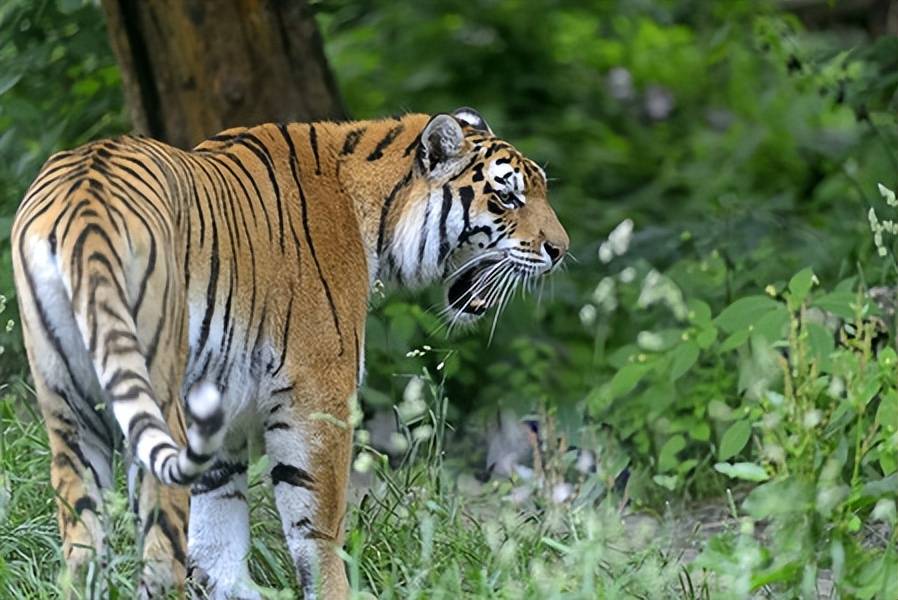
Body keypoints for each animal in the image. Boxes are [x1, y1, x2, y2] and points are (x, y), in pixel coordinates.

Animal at [11, 107, 568, 598]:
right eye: (507, 196)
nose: (560, 250)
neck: (376, 213)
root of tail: (85, 197)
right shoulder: (319, 392)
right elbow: (317, 524)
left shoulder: (222, 411)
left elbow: (217, 532)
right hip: (157, 394)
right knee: (158, 549)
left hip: (69, 411)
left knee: (82, 548)